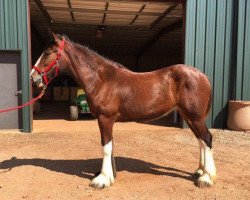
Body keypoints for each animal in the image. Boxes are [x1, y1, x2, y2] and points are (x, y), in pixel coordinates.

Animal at [29, 32, 217, 188]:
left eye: (48, 52)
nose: (33, 78)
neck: (101, 79)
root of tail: (203, 76)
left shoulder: (105, 118)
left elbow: (106, 147)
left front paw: (102, 180)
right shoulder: (108, 120)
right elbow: (111, 146)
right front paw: (110, 174)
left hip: (195, 117)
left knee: (207, 138)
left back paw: (206, 178)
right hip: (189, 116)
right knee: (201, 140)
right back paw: (200, 171)